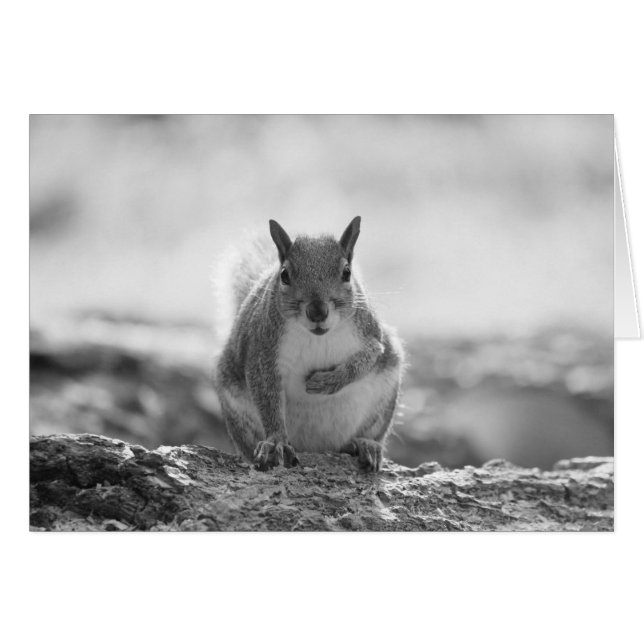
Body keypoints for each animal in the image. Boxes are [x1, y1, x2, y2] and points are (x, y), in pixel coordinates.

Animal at [213, 216, 404, 472]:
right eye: (284, 275)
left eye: (347, 272)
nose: (317, 311)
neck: (317, 337)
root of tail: (316, 448)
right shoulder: (262, 350)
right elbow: (267, 397)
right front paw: (276, 442)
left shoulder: (371, 335)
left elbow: (366, 359)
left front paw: (327, 382)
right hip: (237, 411)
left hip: (383, 400)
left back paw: (364, 444)